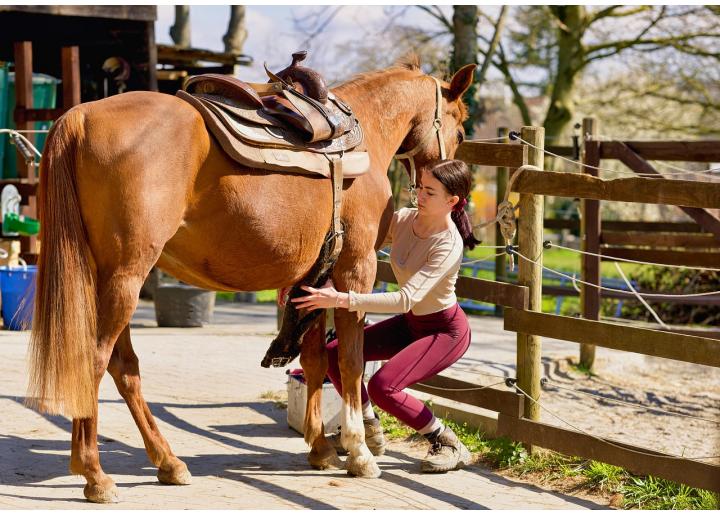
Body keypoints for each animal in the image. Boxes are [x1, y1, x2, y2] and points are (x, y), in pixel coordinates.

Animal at [26, 59, 478, 500]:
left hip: (112, 278)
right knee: (96, 361)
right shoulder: (356, 270)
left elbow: (315, 361)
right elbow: (351, 361)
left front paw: (321, 449)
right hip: (125, 278)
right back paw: (95, 474)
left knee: (124, 368)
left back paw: (167, 462)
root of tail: (81, 116)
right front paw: (359, 451)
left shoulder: (313, 282)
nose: (453, 191)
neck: (363, 134)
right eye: (459, 128)